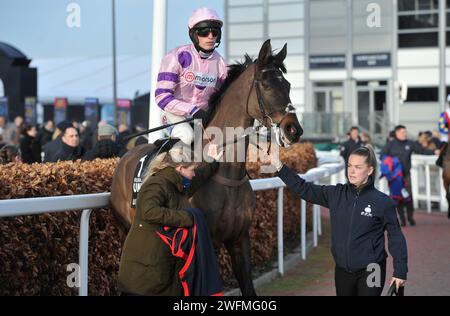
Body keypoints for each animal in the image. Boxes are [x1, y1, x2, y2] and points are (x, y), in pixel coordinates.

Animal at [110, 40, 304, 296]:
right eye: (266, 84)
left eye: (288, 84)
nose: (294, 130)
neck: (227, 176)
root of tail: (124, 156)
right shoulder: (205, 243)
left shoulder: (239, 239)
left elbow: (248, 287)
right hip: (125, 228)